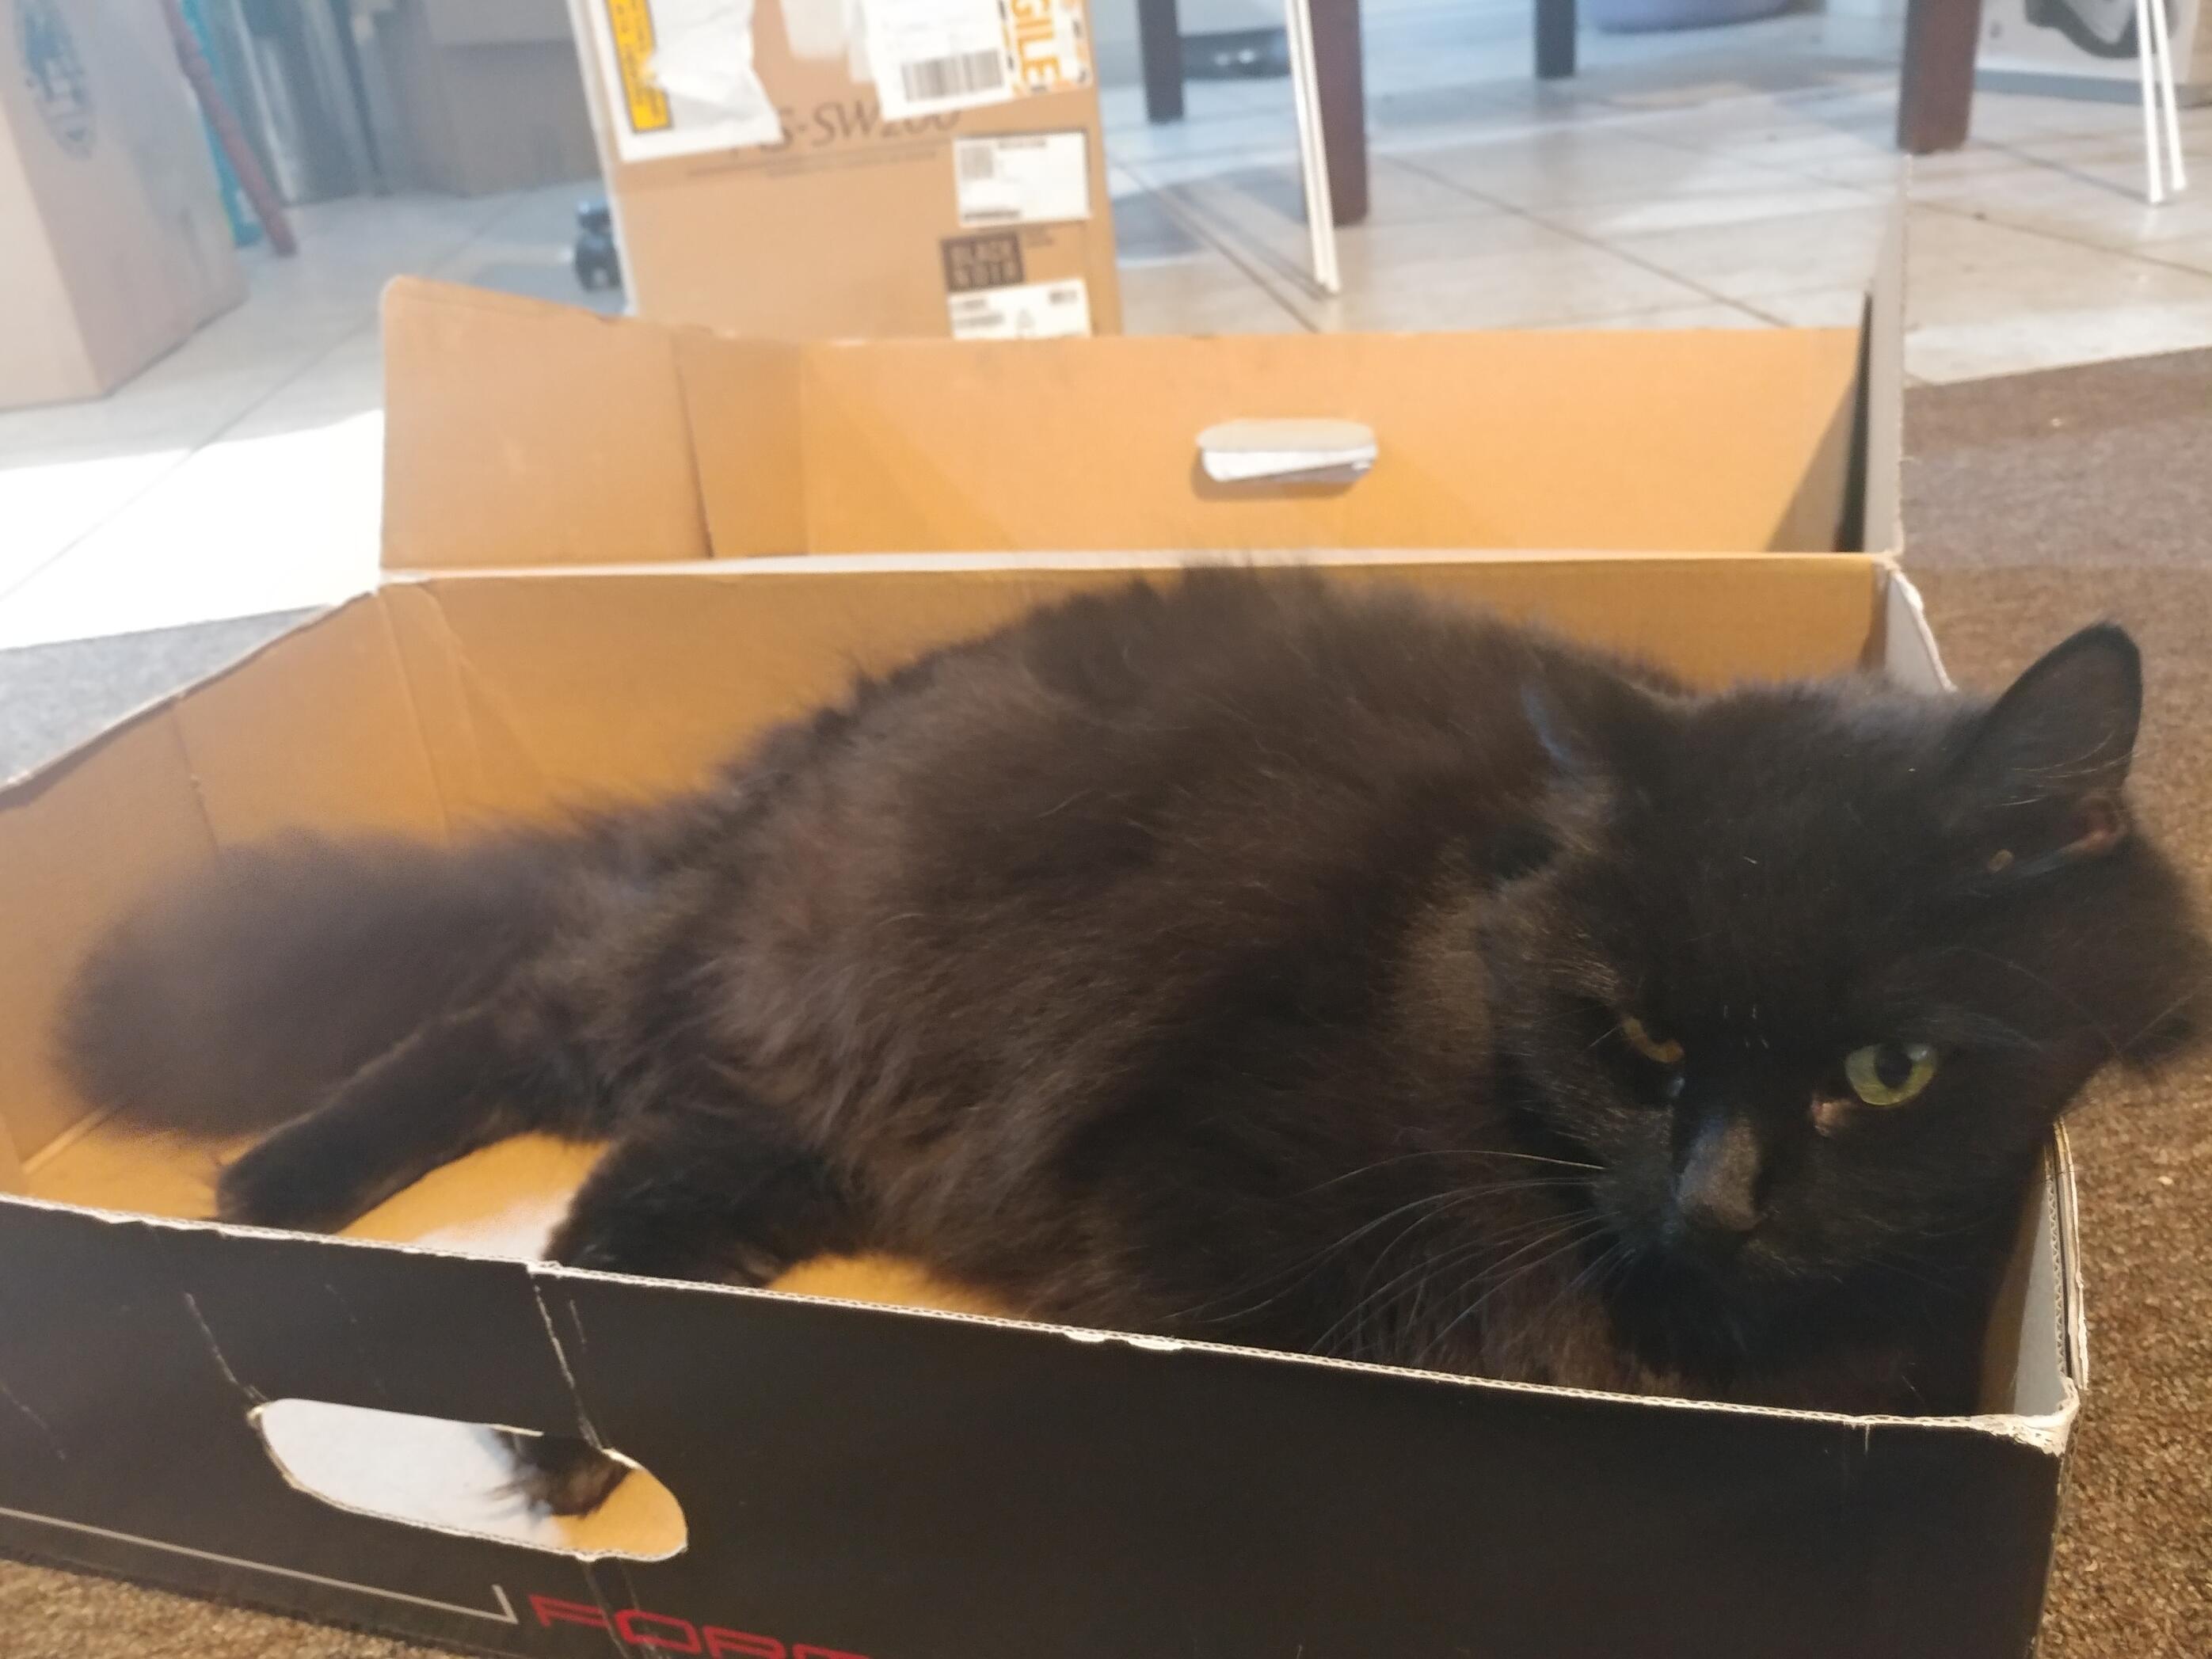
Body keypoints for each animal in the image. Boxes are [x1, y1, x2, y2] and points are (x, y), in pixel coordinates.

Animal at [59, 568, 2208, 1513]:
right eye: (1637, 1040)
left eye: (1883, 1076)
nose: (1722, 1201)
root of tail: (784, 760)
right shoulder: (1224, 1225)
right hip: (729, 985)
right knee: (497, 1029)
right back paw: (271, 1207)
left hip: (776, 1131)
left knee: (607, 1233)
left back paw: (573, 1427)